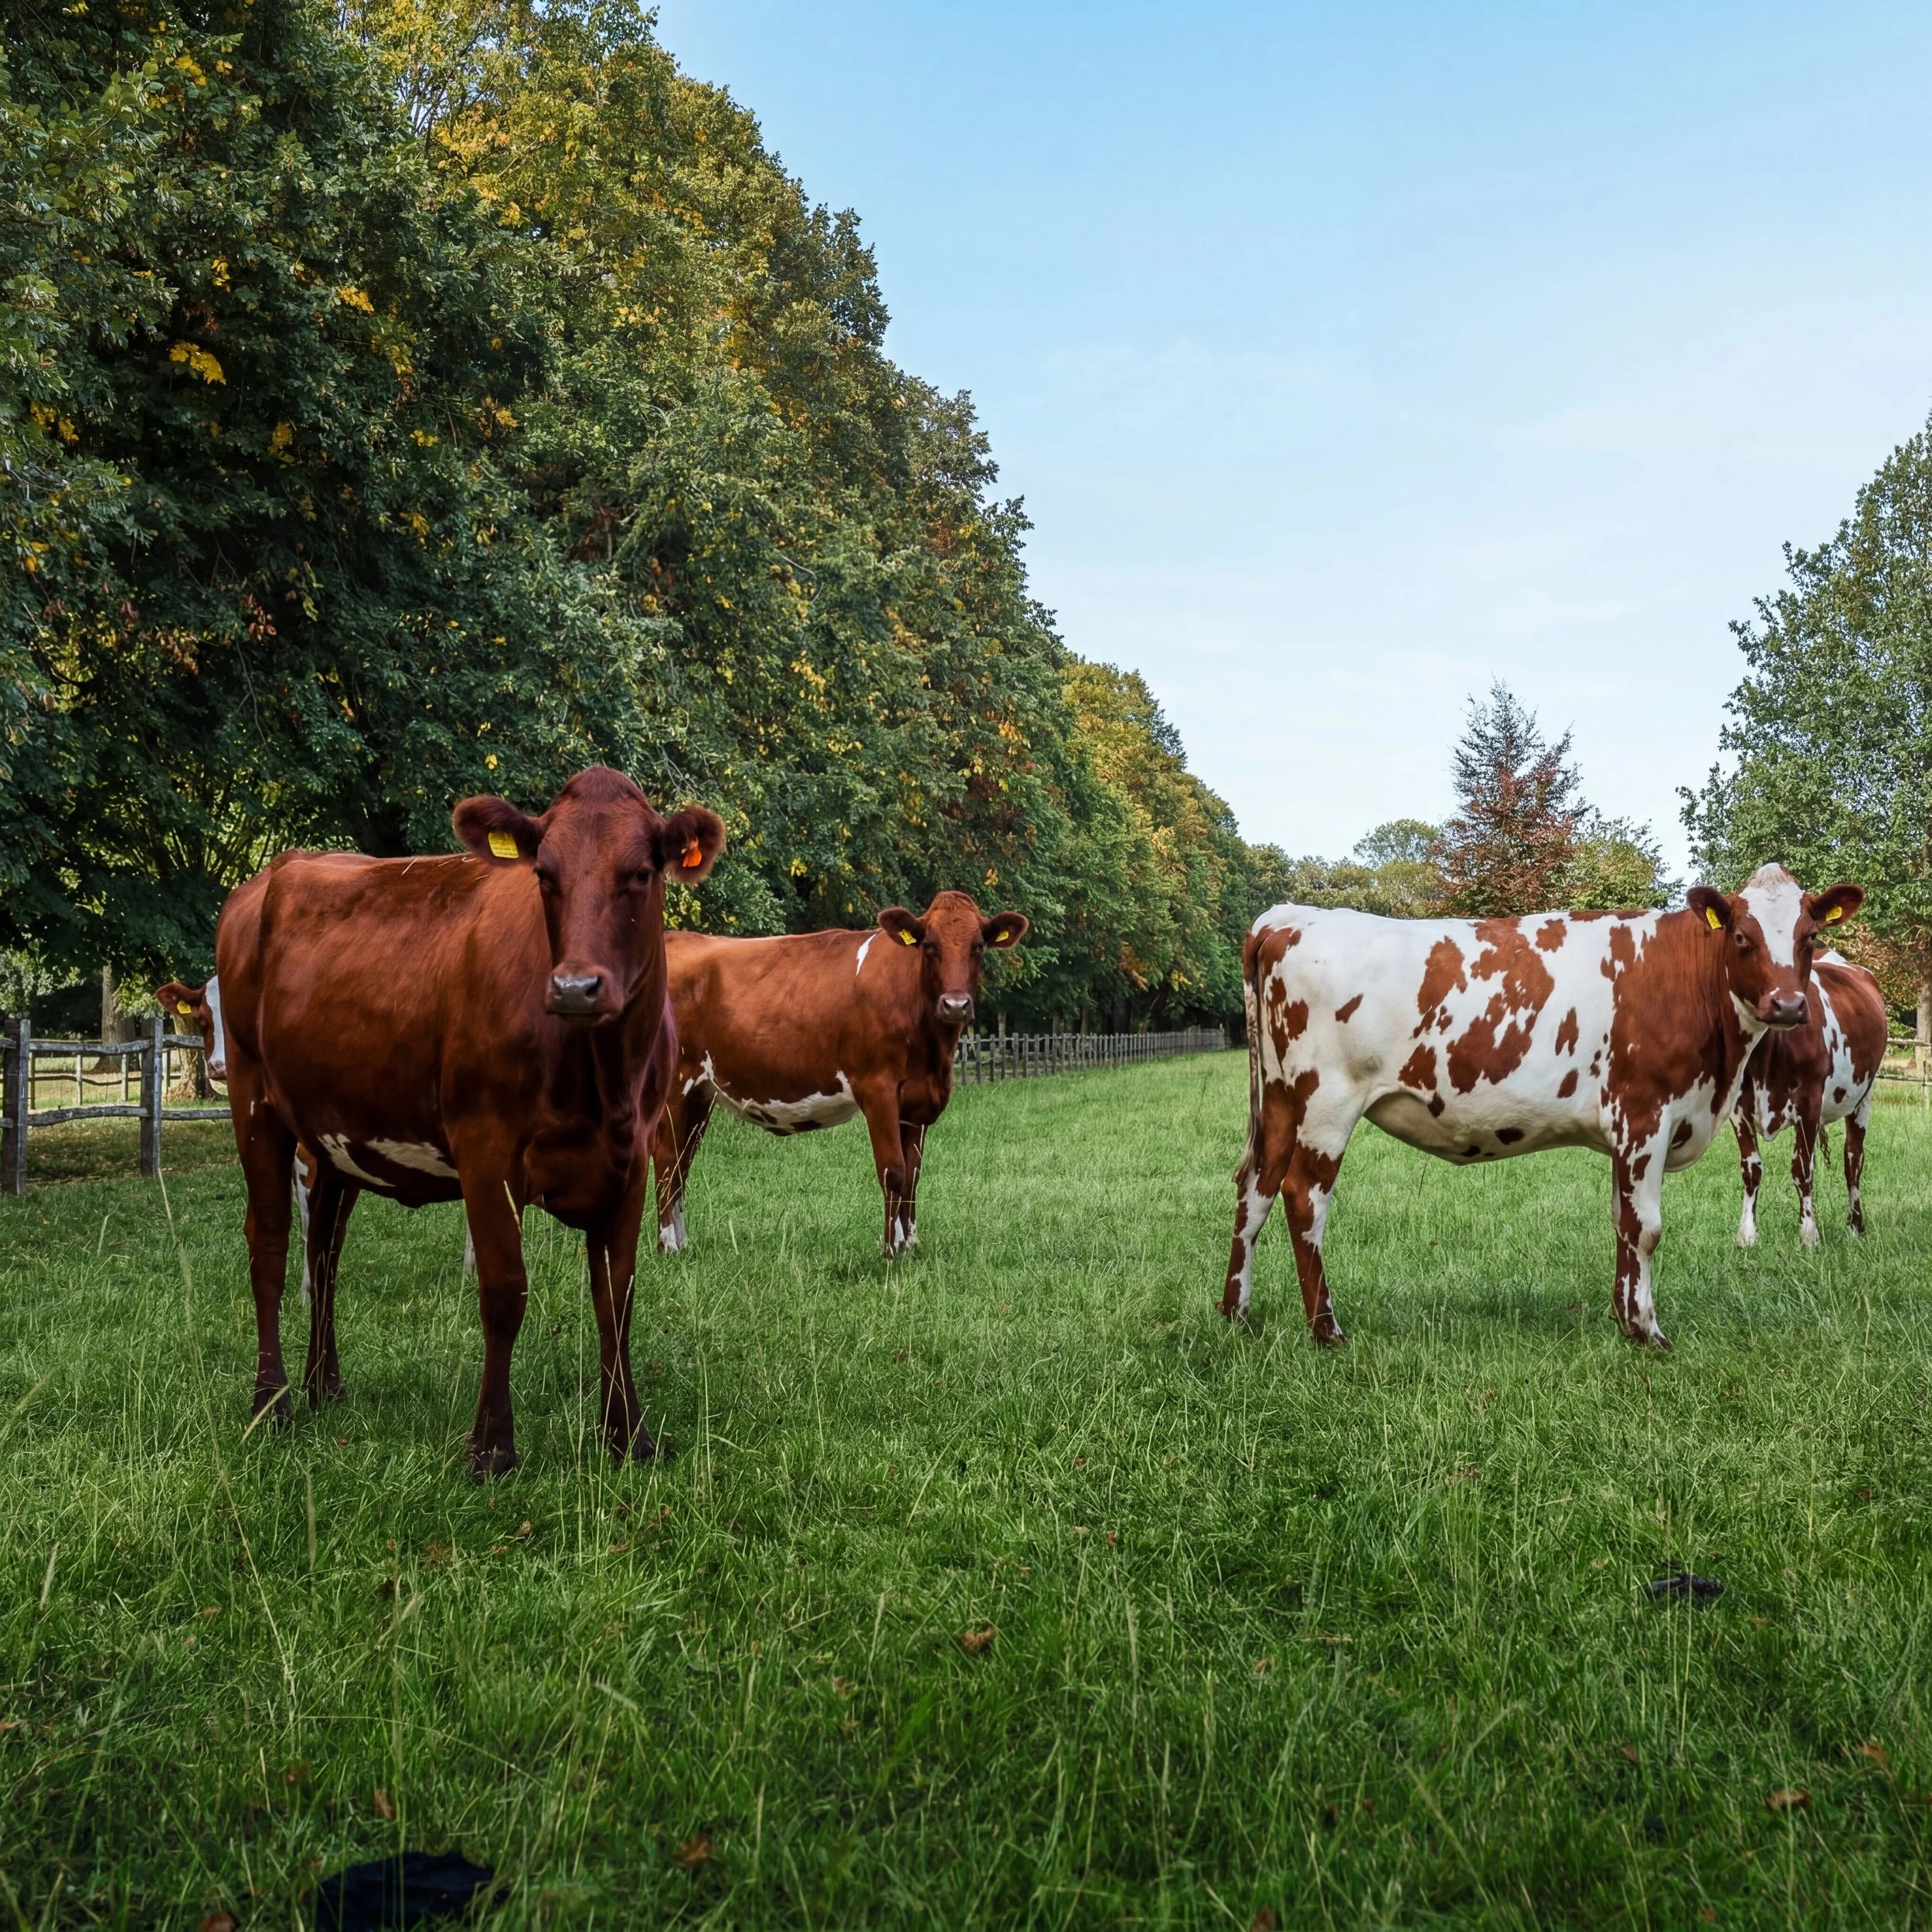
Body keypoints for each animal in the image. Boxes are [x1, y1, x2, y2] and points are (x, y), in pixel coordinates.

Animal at [215, 767, 725, 1475]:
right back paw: (274, 1402)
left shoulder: (634, 1157)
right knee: (269, 1246)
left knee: (324, 1250)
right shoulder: (486, 1151)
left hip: (331, 1133)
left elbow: (616, 1297)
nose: (575, 988)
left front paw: (628, 1436)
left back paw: (326, 1386)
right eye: (544, 874)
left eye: (641, 873)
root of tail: (275, 871)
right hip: (254, 1099)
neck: (601, 1081)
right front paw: (491, 1448)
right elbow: (505, 1294)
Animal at [650, 891, 1027, 1257]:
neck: (932, 1056)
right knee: (667, 1159)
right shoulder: (878, 1089)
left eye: (979, 946)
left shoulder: (917, 1102)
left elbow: (914, 1175)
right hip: (674, 1087)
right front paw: (890, 1252)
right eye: (929, 944)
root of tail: (674, 939)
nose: (955, 1005)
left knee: (683, 1163)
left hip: (701, 1093)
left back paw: (683, 1244)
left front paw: (910, 1245)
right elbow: (894, 1170)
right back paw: (667, 1245)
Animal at [1221, 864, 1864, 1348]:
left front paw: (1623, 1320)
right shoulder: (1645, 1116)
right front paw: (1649, 1331)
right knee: (1303, 1198)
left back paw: (1237, 1315)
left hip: (1279, 1099)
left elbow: (1622, 1222)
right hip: (1327, 1100)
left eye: (1808, 937)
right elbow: (1646, 1229)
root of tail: (1290, 917)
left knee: (1255, 1189)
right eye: (1742, 937)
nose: (1788, 1005)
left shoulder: (1626, 1130)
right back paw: (1326, 1330)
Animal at [1733, 951, 1888, 1248]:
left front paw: (1809, 1235)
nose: (1787, 1006)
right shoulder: (1738, 1109)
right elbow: (1751, 1169)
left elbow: (1802, 1169)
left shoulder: (1810, 1104)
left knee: (1853, 1159)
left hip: (1864, 1096)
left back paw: (1855, 1225)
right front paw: (1747, 1236)